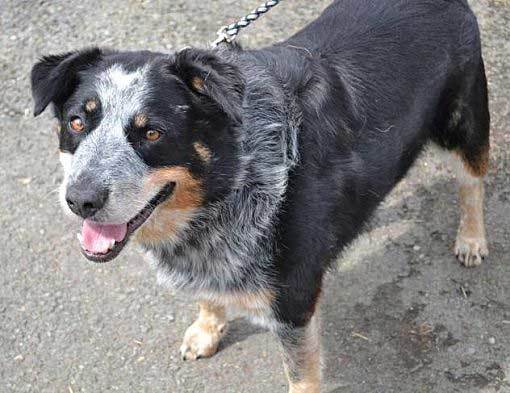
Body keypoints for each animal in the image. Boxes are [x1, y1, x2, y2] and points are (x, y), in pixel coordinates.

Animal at [30, 1, 490, 390]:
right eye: (76, 122)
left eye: (153, 133)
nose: (80, 200)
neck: (232, 181)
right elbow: (209, 295)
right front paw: (205, 330)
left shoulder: (294, 303)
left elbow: (301, 375)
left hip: (464, 122)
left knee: (472, 182)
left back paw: (471, 239)